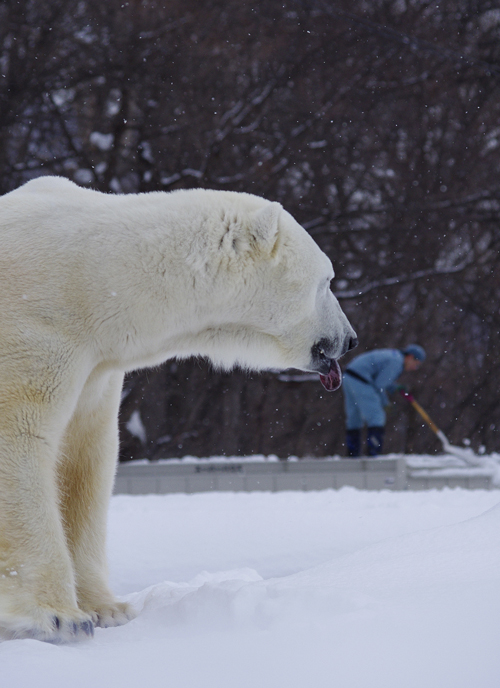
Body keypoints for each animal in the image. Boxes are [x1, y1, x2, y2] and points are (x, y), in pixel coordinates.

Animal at [0, 176, 356, 640]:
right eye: (327, 280)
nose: (350, 339)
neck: (91, 278)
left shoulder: (95, 366)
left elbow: (85, 457)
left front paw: (107, 608)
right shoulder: (36, 331)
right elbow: (19, 440)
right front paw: (58, 617)